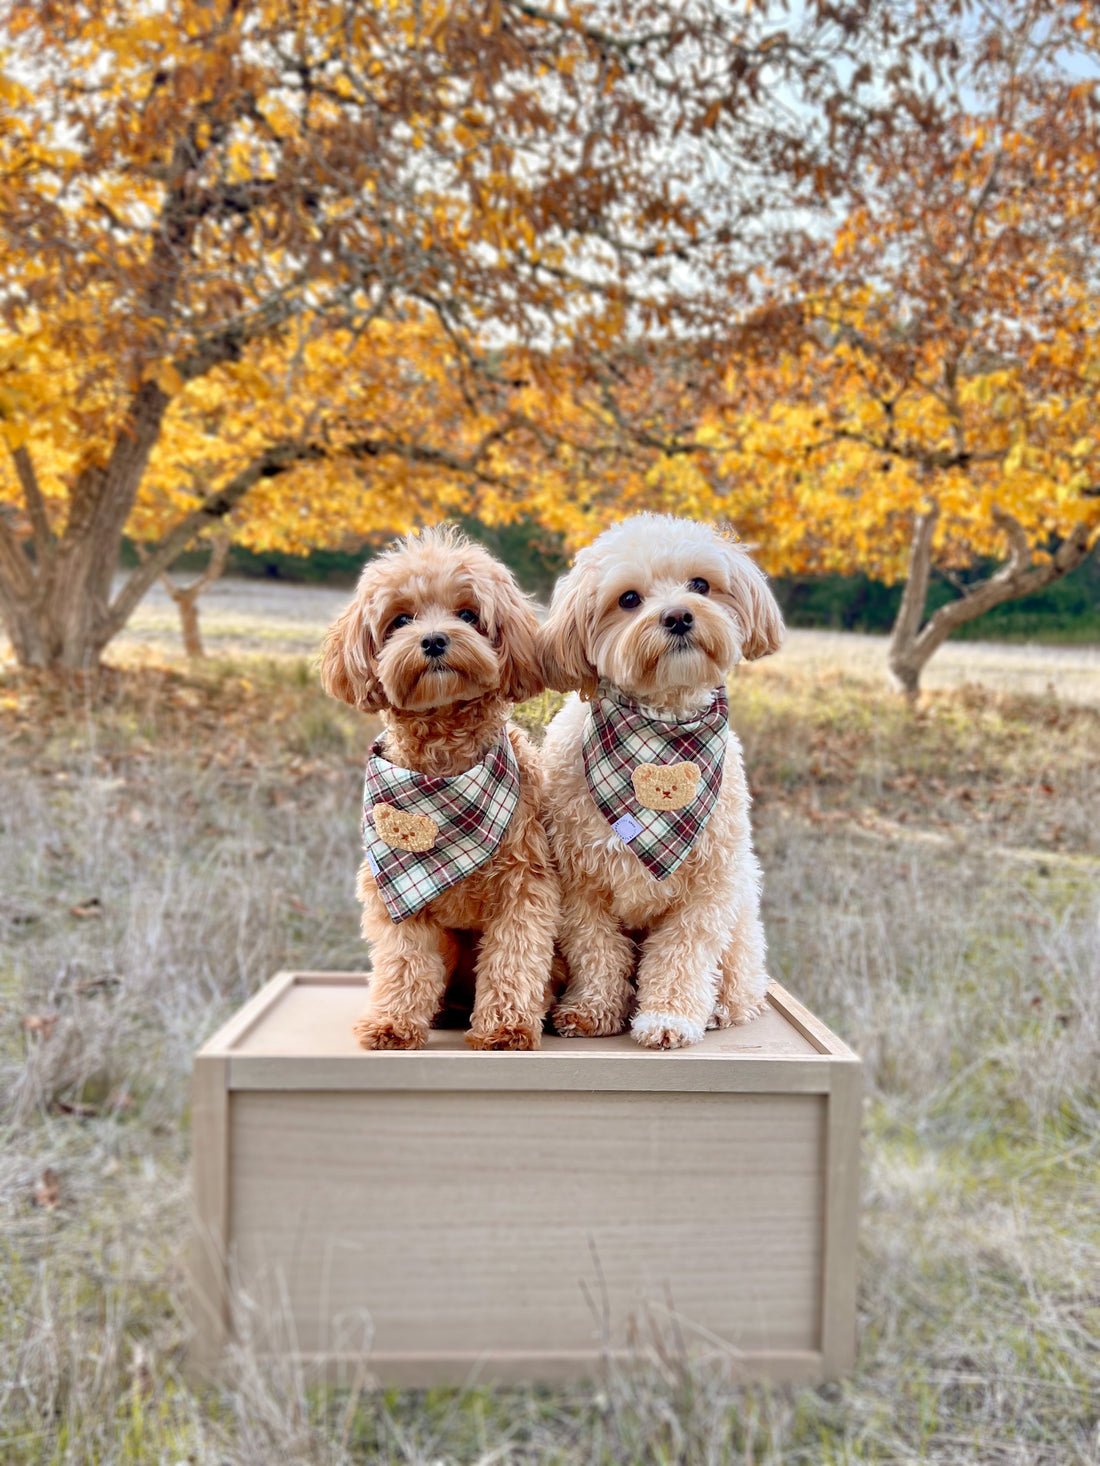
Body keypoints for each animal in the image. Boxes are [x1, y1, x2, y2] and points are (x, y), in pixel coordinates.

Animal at [536, 513, 786, 1043]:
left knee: (741, 983)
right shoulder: (580, 884)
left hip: (741, 921)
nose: (677, 616)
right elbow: (596, 950)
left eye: (701, 585)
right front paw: (592, 1009)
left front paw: (669, 1017)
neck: (661, 742)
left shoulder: (708, 886)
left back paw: (717, 1009)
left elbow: (681, 956)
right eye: (629, 598)